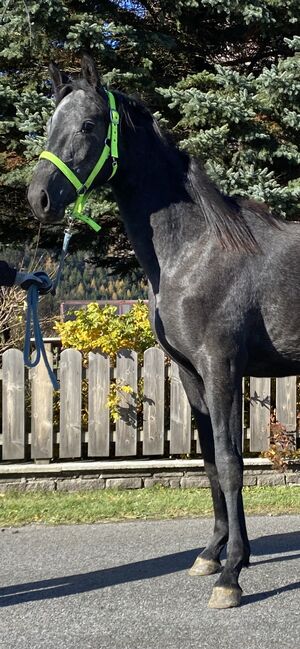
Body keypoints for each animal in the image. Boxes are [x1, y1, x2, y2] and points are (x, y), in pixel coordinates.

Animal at [28, 55, 300, 608]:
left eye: (88, 125)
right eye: (49, 125)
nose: (38, 198)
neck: (195, 248)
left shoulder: (222, 367)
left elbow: (231, 461)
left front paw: (231, 577)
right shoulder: (193, 372)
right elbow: (212, 464)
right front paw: (215, 555)